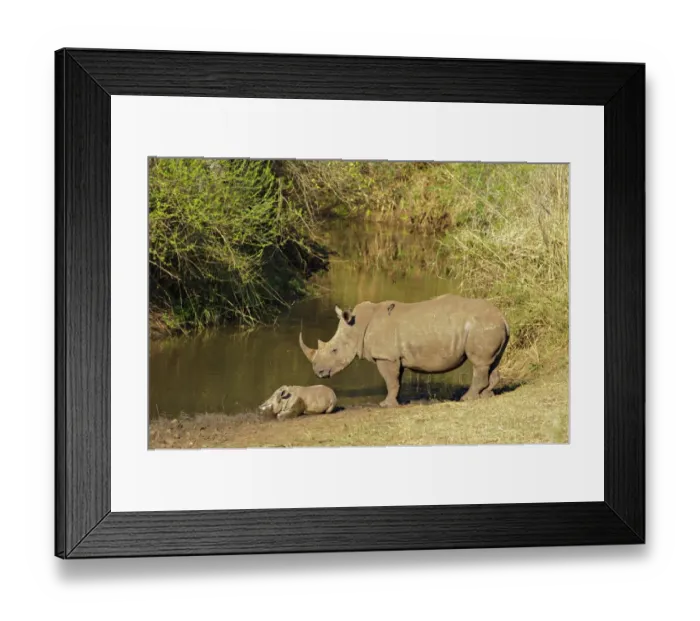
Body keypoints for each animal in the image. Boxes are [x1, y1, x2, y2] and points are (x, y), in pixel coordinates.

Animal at [299, 294, 509, 408]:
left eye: (334, 350)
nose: (318, 372)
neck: (357, 327)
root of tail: (503, 318)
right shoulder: (394, 357)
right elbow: (396, 381)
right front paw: (396, 401)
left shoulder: (385, 357)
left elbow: (390, 381)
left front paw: (385, 405)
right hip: (489, 326)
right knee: (491, 363)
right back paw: (486, 395)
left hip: (481, 326)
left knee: (479, 364)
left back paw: (467, 399)